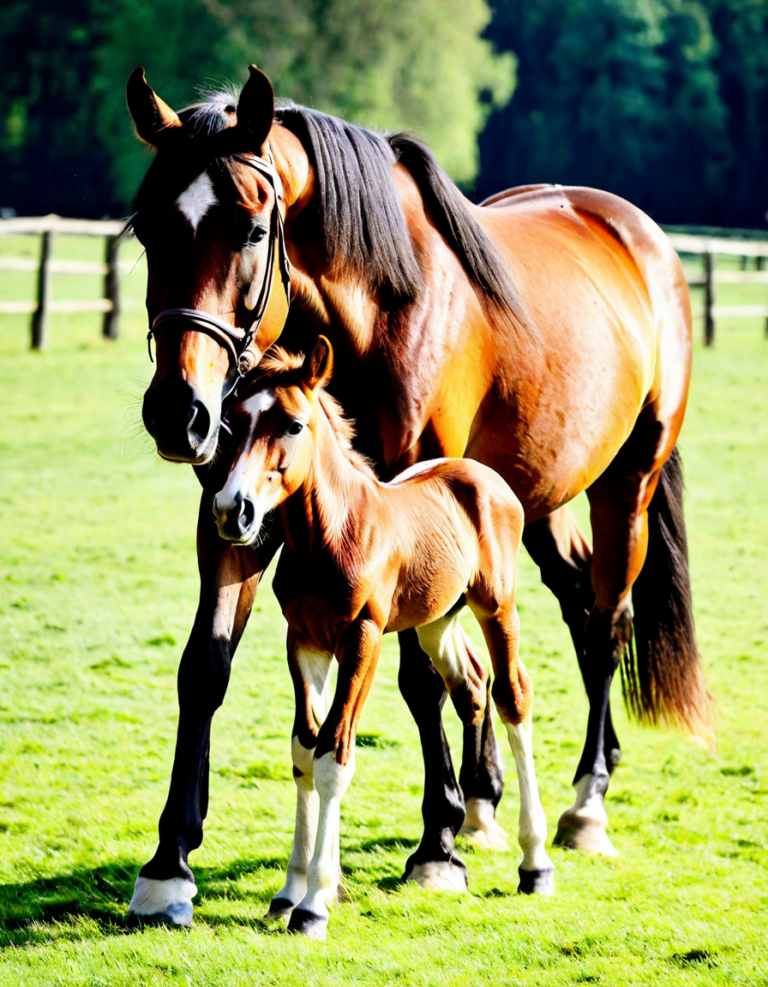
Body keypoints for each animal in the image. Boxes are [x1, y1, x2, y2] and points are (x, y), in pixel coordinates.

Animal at [209, 336, 554, 939]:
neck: (331, 534)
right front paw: (289, 891)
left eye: (293, 425)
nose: (234, 511)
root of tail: (483, 475)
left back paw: (535, 864)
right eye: (234, 422)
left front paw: (314, 905)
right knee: (471, 684)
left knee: (514, 696)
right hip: (436, 619)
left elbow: (334, 755)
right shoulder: (303, 641)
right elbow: (303, 750)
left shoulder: (362, 638)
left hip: (496, 606)